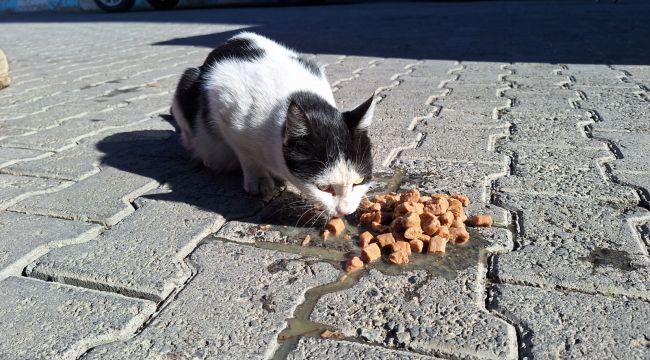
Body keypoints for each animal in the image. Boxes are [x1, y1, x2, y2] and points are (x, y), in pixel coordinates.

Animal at [171, 31, 374, 217]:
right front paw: (259, 180)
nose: (346, 211)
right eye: (323, 187)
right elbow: (247, 154)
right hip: (187, 83)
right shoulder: (225, 106)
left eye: (358, 181)